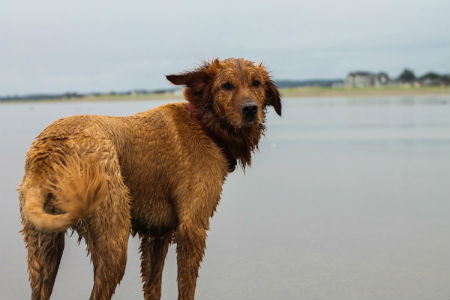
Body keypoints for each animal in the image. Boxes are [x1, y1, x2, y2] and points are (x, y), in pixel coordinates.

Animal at [20, 58, 282, 300]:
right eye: (226, 86)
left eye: (256, 83)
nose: (250, 109)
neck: (205, 126)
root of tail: (50, 151)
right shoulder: (192, 228)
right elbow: (186, 288)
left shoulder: (157, 234)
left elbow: (153, 286)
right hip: (113, 240)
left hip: (43, 250)